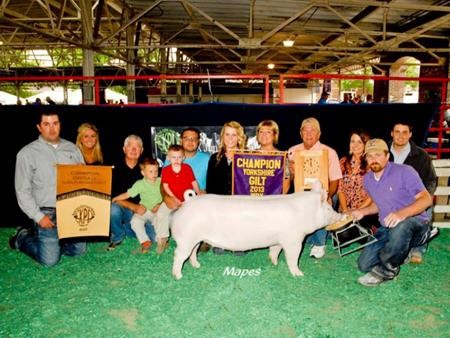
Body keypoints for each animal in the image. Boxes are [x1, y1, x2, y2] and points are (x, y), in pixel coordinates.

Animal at [171, 186, 342, 278]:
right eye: (328, 208)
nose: (342, 215)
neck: (304, 213)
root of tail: (187, 203)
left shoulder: (278, 239)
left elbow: (274, 250)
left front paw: (274, 263)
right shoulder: (293, 240)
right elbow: (293, 257)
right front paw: (299, 274)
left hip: (196, 239)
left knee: (193, 252)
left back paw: (197, 266)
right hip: (185, 239)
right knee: (178, 255)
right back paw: (178, 276)